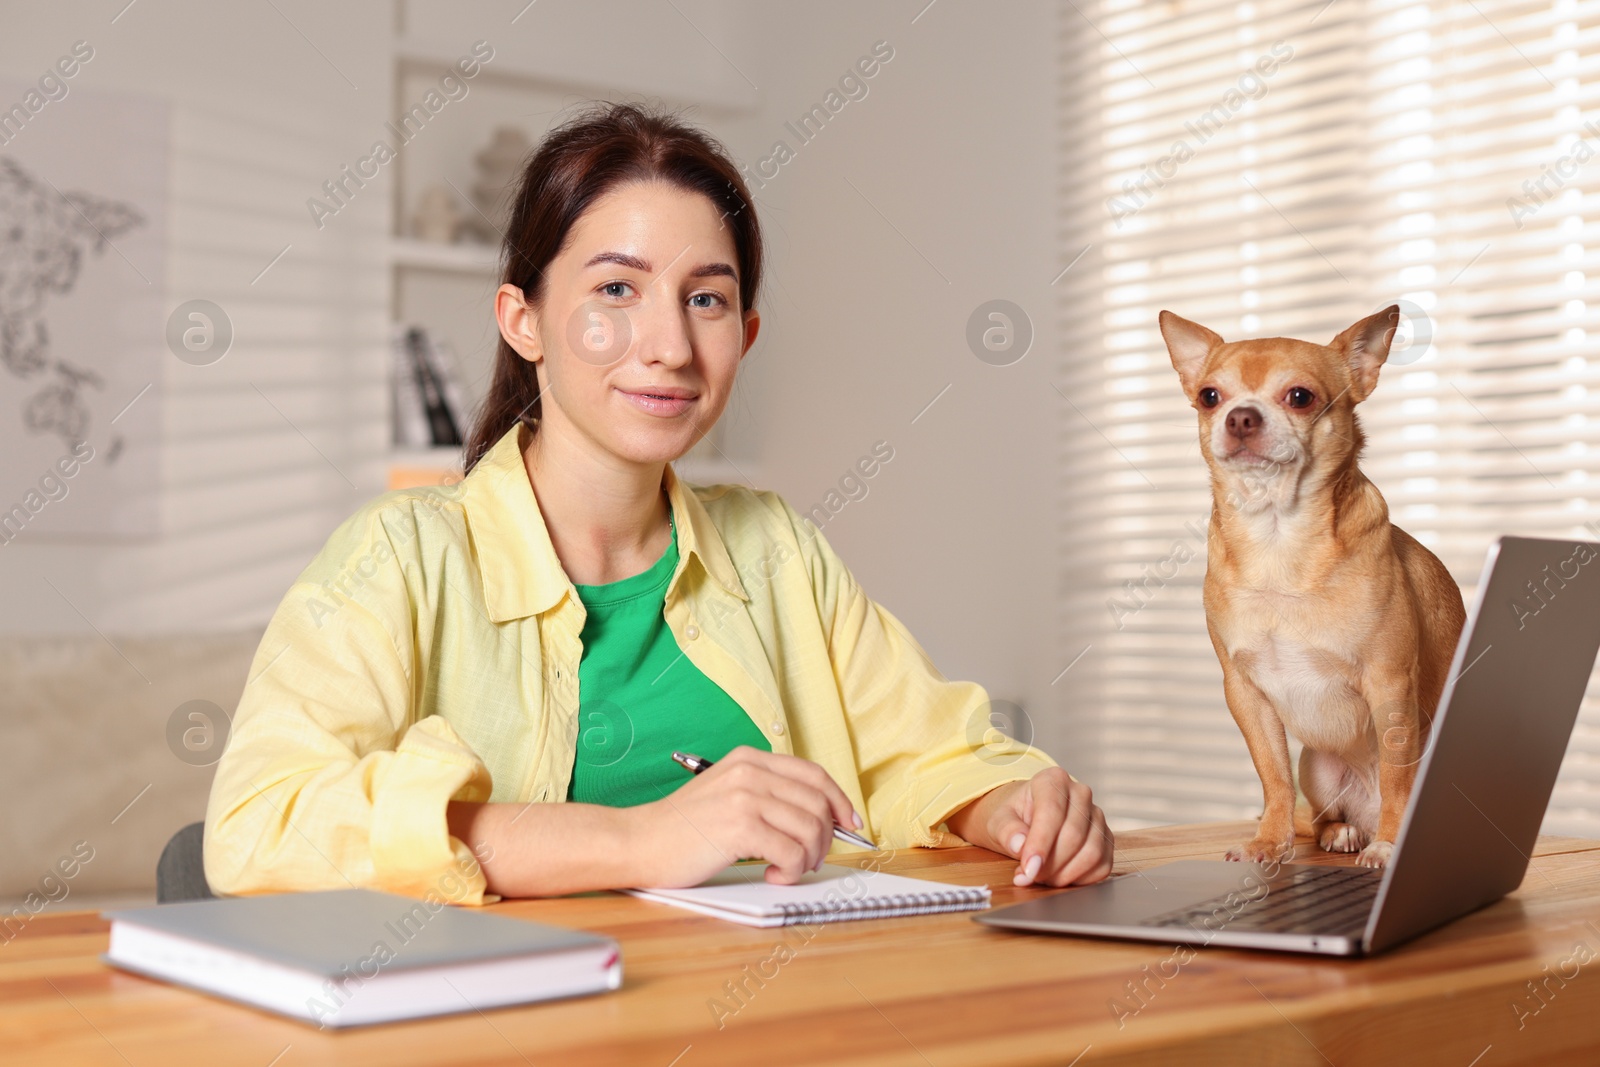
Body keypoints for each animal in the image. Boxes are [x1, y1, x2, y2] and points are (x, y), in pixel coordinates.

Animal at [1158, 307, 1465, 870]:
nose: (1240, 416)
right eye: (1210, 396)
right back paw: (1341, 832)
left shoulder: (1390, 686)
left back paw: (1382, 835)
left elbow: (1398, 777)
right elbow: (1272, 776)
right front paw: (1269, 842)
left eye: (1299, 396)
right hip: (1318, 768)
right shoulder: (1246, 694)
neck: (1278, 537)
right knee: (1321, 815)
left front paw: (1391, 846)